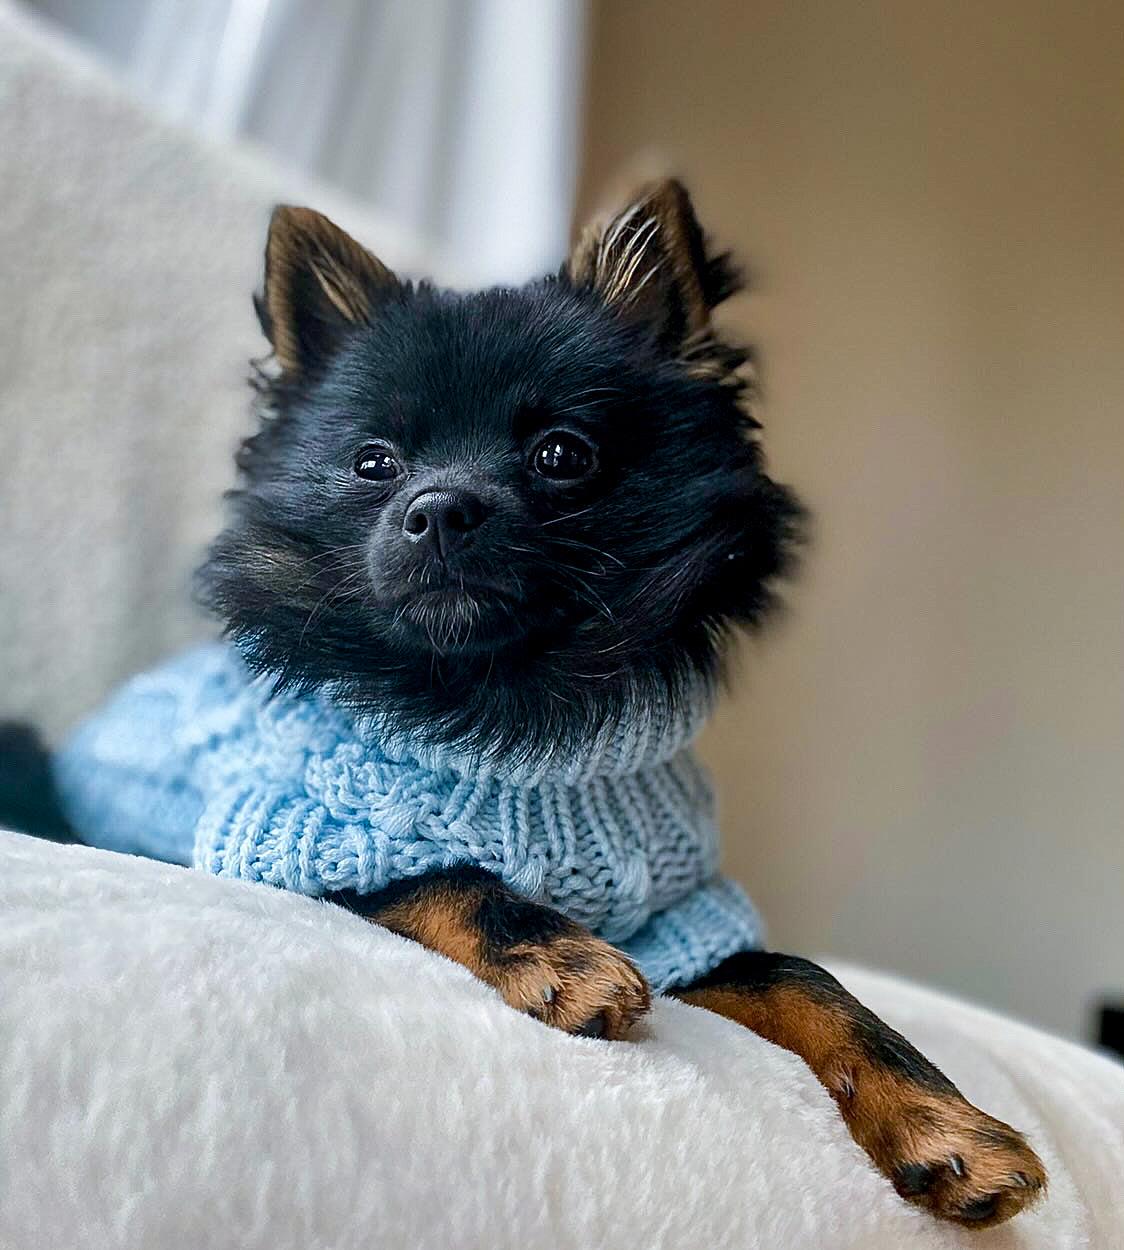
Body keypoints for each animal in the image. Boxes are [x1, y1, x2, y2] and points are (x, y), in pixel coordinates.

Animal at [6, 181, 1045, 1225]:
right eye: (374, 464)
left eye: (561, 455)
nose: (437, 507)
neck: (514, 715)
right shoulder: (293, 836)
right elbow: (446, 873)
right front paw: (555, 953)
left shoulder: (684, 921)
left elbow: (810, 982)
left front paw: (943, 1122)